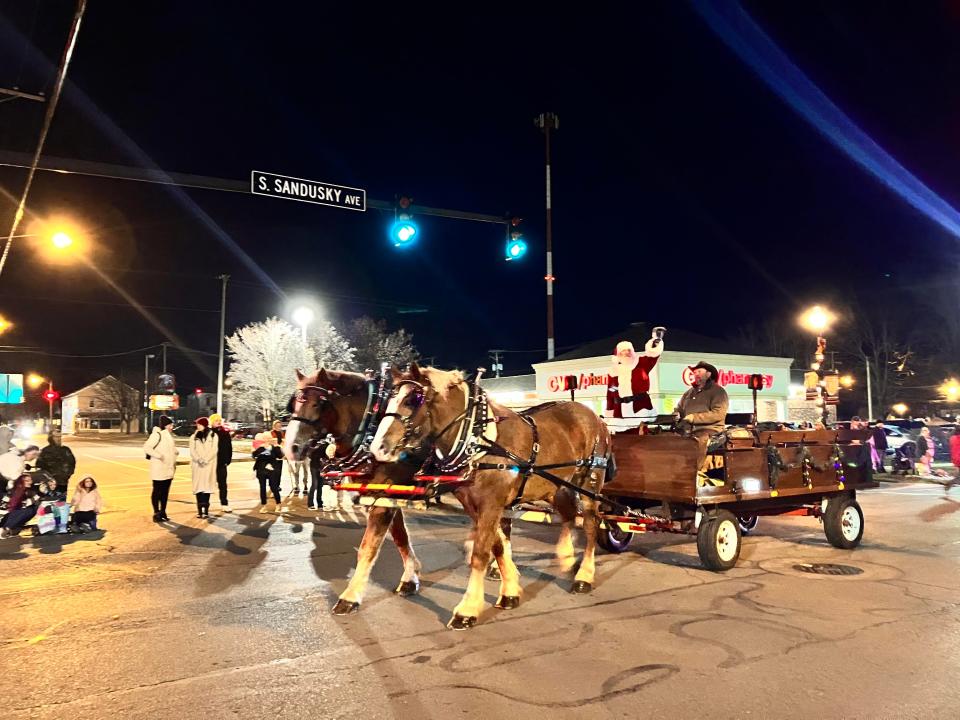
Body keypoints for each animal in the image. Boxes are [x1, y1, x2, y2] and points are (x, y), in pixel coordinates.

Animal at [282, 372, 424, 600]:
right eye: (293, 404)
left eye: (316, 404)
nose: (290, 448)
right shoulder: (387, 498)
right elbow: (400, 536)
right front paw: (410, 578)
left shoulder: (383, 500)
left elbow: (369, 546)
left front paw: (350, 597)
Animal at [372, 366, 612, 632]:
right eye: (389, 398)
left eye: (412, 399)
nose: (378, 448)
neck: (479, 441)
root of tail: (594, 416)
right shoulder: (475, 505)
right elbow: (497, 546)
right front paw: (509, 593)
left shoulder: (491, 504)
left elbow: (480, 553)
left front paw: (467, 610)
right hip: (556, 486)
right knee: (569, 514)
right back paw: (567, 557)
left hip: (589, 482)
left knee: (590, 523)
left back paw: (584, 576)